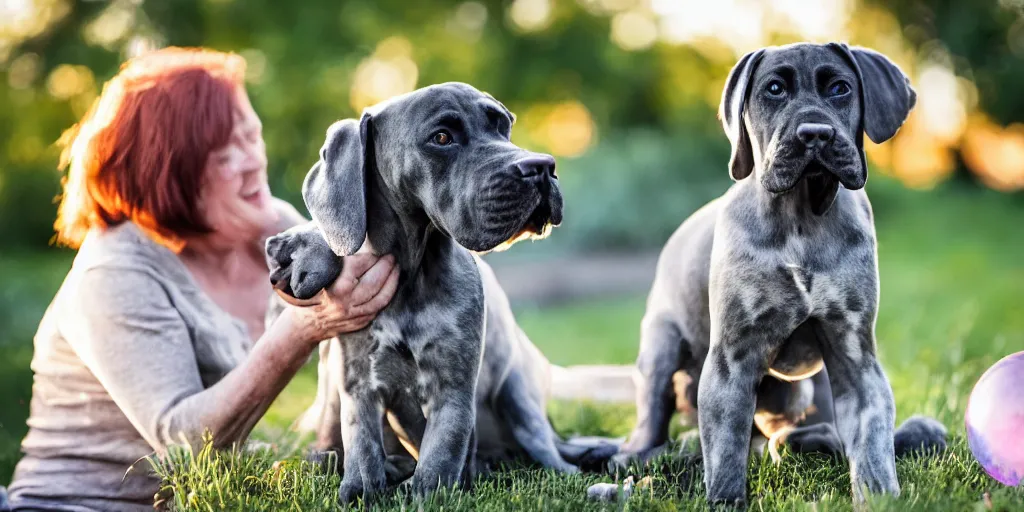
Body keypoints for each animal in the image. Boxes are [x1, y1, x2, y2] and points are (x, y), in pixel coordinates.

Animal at [268, 81, 610, 501]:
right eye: (442, 137)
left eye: (503, 127)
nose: (542, 167)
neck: (413, 272)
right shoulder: (359, 384)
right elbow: (363, 447)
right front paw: (362, 490)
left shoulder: (452, 388)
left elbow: (439, 459)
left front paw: (425, 494)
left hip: (519, 395)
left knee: (551, 454)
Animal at [610, 41, 946, 505]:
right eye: (773, 89)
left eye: (840, 88)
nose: (815, 134)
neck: (801, 218)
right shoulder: (732, 360)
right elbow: (726, 452)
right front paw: (726, 501)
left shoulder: (856, 356)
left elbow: (873, 444)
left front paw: (879, 496)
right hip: (660, 344)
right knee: (656, 415)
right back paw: (639, 454)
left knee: (797, 431)